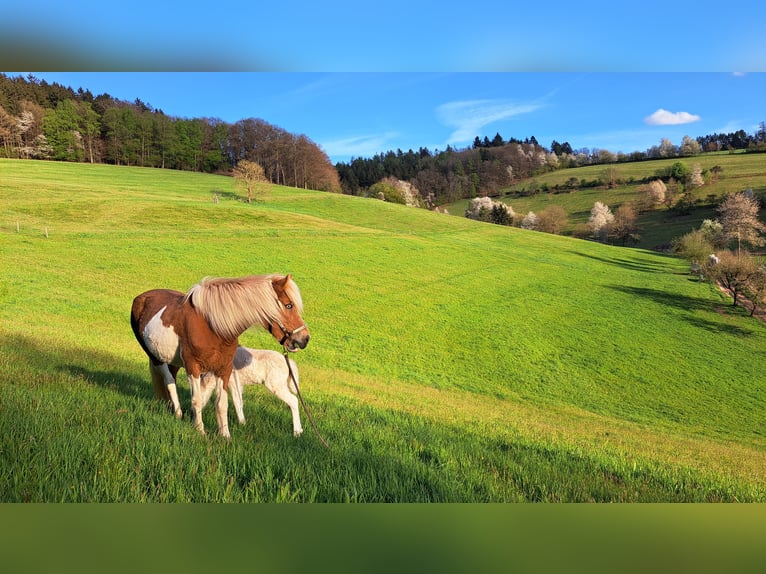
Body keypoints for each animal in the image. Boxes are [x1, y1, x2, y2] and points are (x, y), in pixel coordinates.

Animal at [130, 274, 309, 438]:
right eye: (288, 305)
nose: (305, 339)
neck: (212, 326)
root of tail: (141, 297)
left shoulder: (224, 370)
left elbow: (222, 403)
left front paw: (225, 435)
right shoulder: (193, 367)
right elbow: (197, 400)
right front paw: (200, 431)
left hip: (173, 360)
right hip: (156, 357)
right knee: (168, 380)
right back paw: (178, 412)